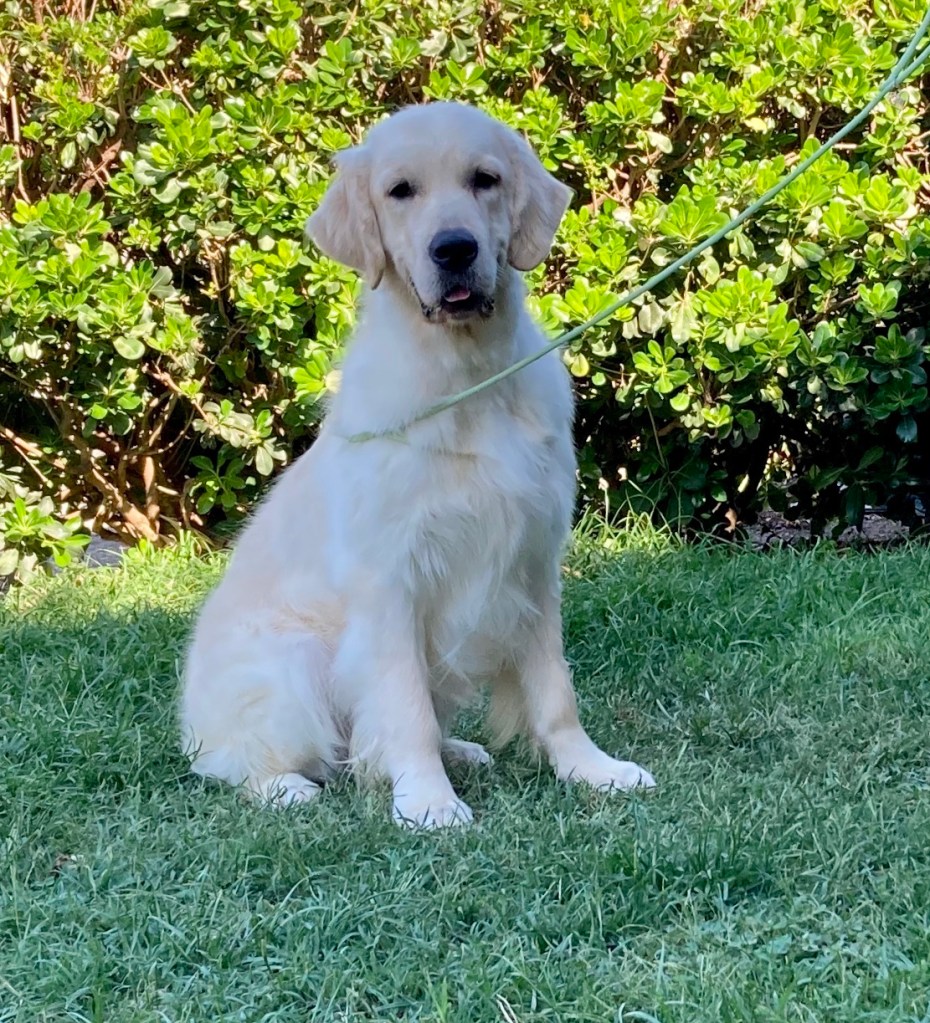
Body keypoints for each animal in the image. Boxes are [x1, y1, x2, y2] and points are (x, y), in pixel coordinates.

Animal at [180, 102, 655, 828]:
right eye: (400, 191)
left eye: (485, 179)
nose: (454, 249)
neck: (469, 377)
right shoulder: (390, 580)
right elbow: (403, 709)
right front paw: (429, 802)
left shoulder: (533, 562)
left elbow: (555, 694)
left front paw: (592, 770)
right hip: (291, 659)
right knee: (243, 762)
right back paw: (288, 787)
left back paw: (462, 751)